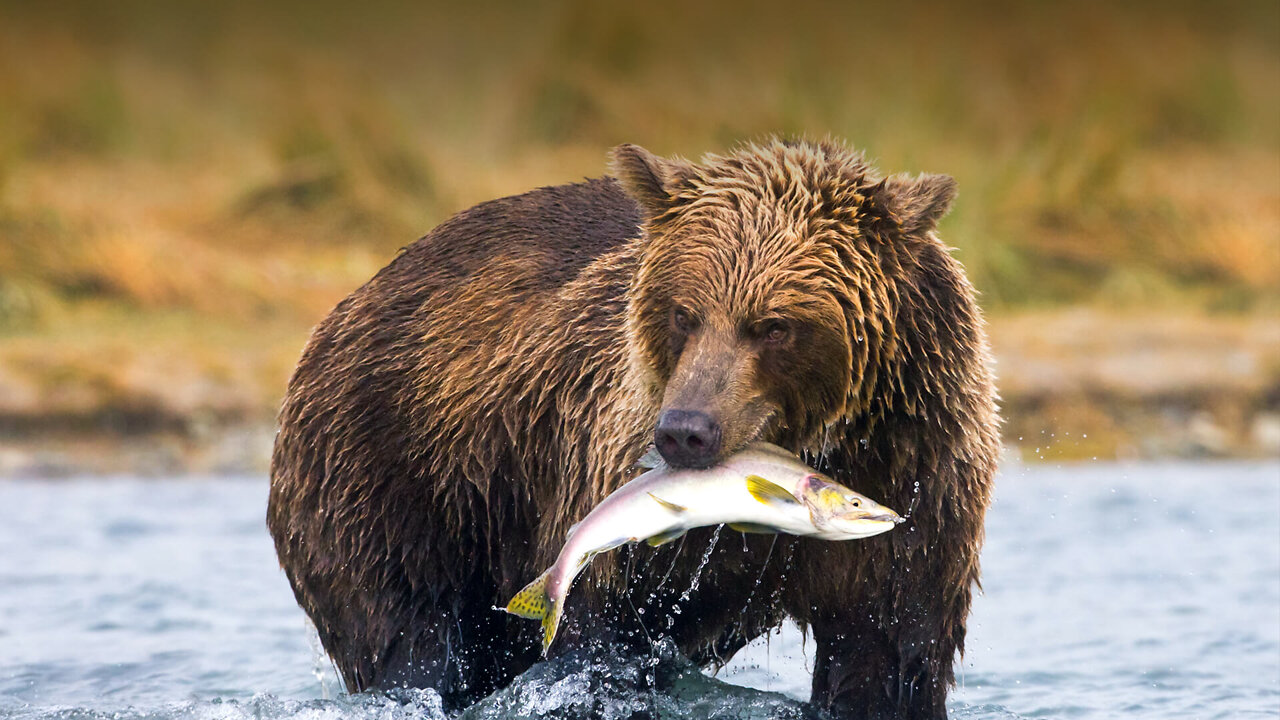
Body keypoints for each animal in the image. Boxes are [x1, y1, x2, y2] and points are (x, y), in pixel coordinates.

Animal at [267, 137, 998, 712]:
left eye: (775, 326)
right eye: (683, 313)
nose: (685, 430)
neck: (822, 439)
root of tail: (351, 300)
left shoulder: (918, 475)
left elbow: (889, 652)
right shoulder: (608, 469)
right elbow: (600, 638)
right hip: (397, 473)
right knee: (410, 637)